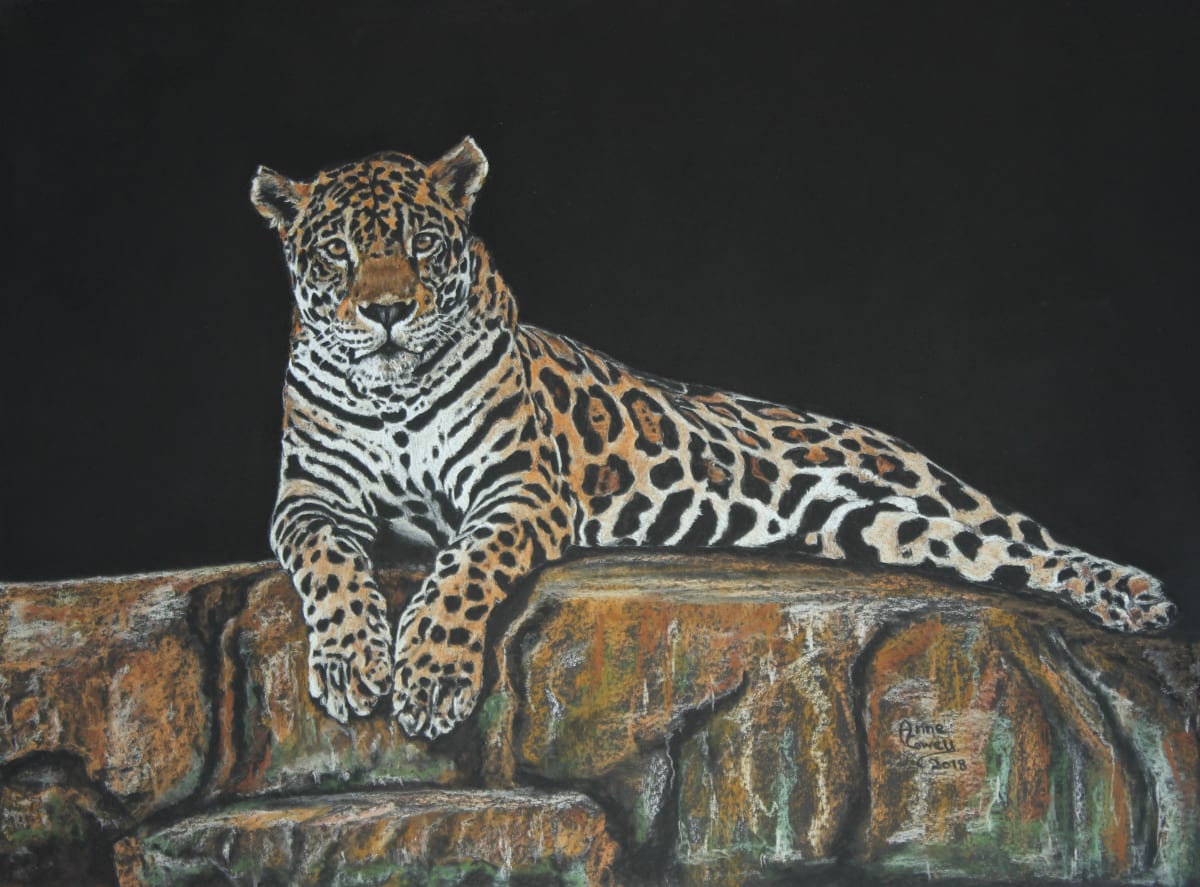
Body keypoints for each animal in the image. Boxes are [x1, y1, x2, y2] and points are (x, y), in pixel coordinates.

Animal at [250, 137, 1178, 740]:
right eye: (335, 252)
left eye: (422, 244)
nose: (386, 311)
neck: (393, 390)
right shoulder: (310, 499)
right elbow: (328, 565)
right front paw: (350, 662)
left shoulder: (518, 491)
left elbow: (462, 569)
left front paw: (433, 675)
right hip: (864, 523)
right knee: (989, 553)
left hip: (920, 484)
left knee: (1026, 539)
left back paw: (1133, 593)